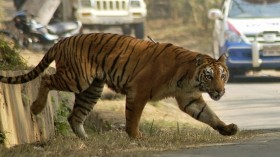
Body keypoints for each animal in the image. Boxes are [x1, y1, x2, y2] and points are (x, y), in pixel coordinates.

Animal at [0, 33, 237, 139]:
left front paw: (226, 128)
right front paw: (136, 137)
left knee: (74, 116)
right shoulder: (139, 91)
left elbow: (209, 116)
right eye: (209, 76)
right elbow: (133, 117)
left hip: (91, 89)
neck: (189, 77)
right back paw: (36, 108)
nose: (219, 90)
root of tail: (63, 40)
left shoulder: (190, 98)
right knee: (46, 79)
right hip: (76, 78)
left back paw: (88, 141)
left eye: (222, 75)